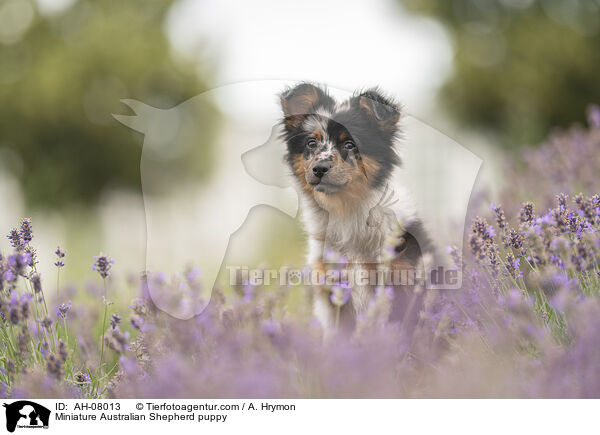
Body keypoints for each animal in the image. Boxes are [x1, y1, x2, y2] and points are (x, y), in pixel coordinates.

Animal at [278, 83, 434, 332]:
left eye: (350, 144)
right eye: (311, 143)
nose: (319, 168)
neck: (346, 211)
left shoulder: (402, 281)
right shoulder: (334, 294)